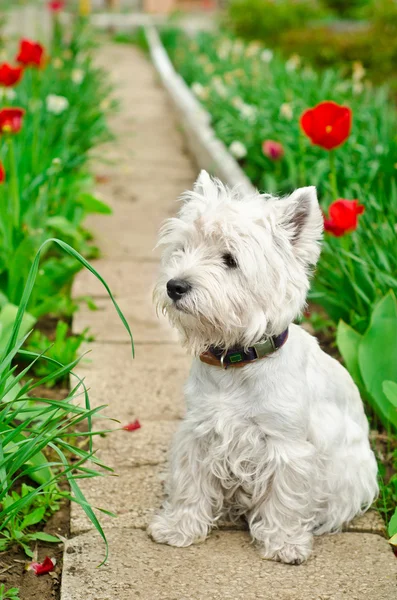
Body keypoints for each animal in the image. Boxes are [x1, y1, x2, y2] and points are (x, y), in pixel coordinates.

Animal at [148, 172, 378, 564]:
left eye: (230, 259)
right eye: (183, 248)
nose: (174, 286)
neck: (237, 363)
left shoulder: (286, 445)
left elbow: (285, 497)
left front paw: (285, 543)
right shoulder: (198, 432)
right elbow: (191, 482)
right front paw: (178, 527)